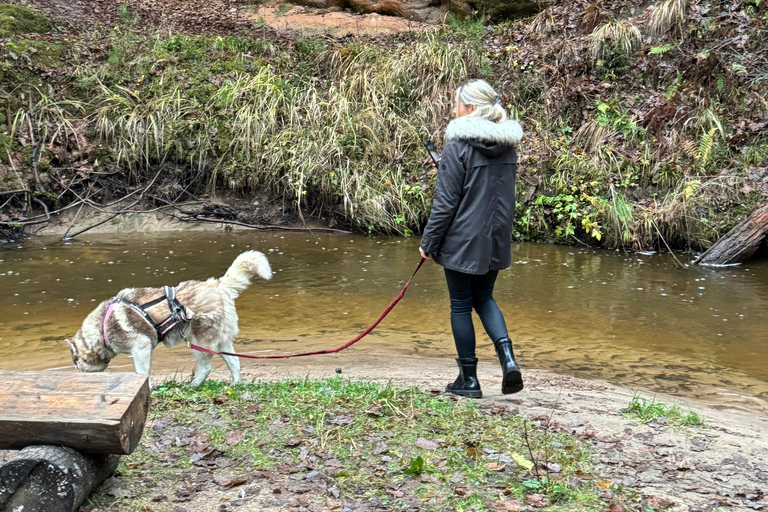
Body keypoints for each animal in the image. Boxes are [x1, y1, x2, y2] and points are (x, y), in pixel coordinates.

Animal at [65, 250, 272, 386]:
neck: (102, 329)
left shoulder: (140, 348)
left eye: (75, 360)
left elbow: (142, 373)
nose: (76, 372)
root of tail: (218, 285)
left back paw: (191, 386)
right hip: (221, 341)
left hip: (198, 342)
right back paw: (235, 385)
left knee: (206, 368)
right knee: (235, 362)